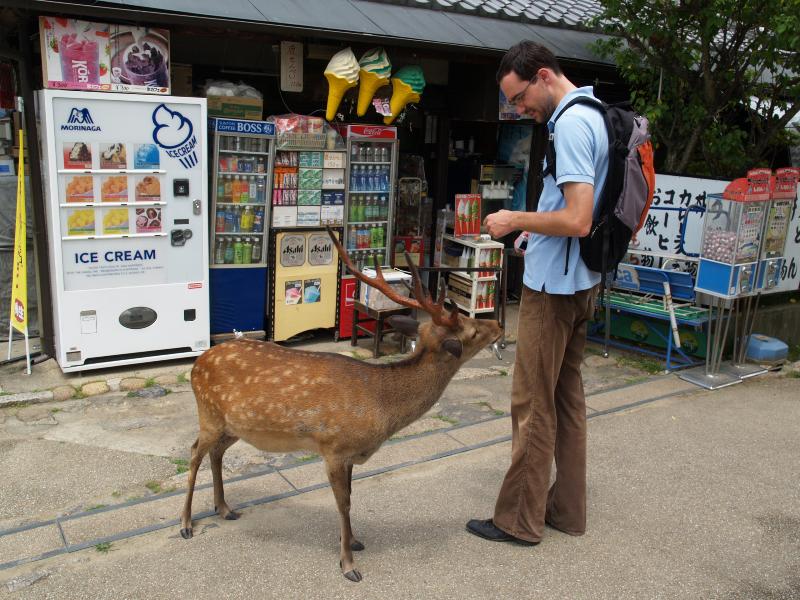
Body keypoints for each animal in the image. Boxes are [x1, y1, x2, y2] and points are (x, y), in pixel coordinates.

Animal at [180, 229, 503, 582]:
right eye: (472, 331)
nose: (499, 325)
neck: (380, 407)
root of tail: (196, 365)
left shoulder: (348, 454)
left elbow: (351, 496)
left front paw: (354, 542)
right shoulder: (333, 447)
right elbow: (344, 502)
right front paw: (348, 564)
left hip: (232, 424)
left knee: (216, 453)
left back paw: (224, 509)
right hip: (209, 413)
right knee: (194, 453)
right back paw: (186, 524)